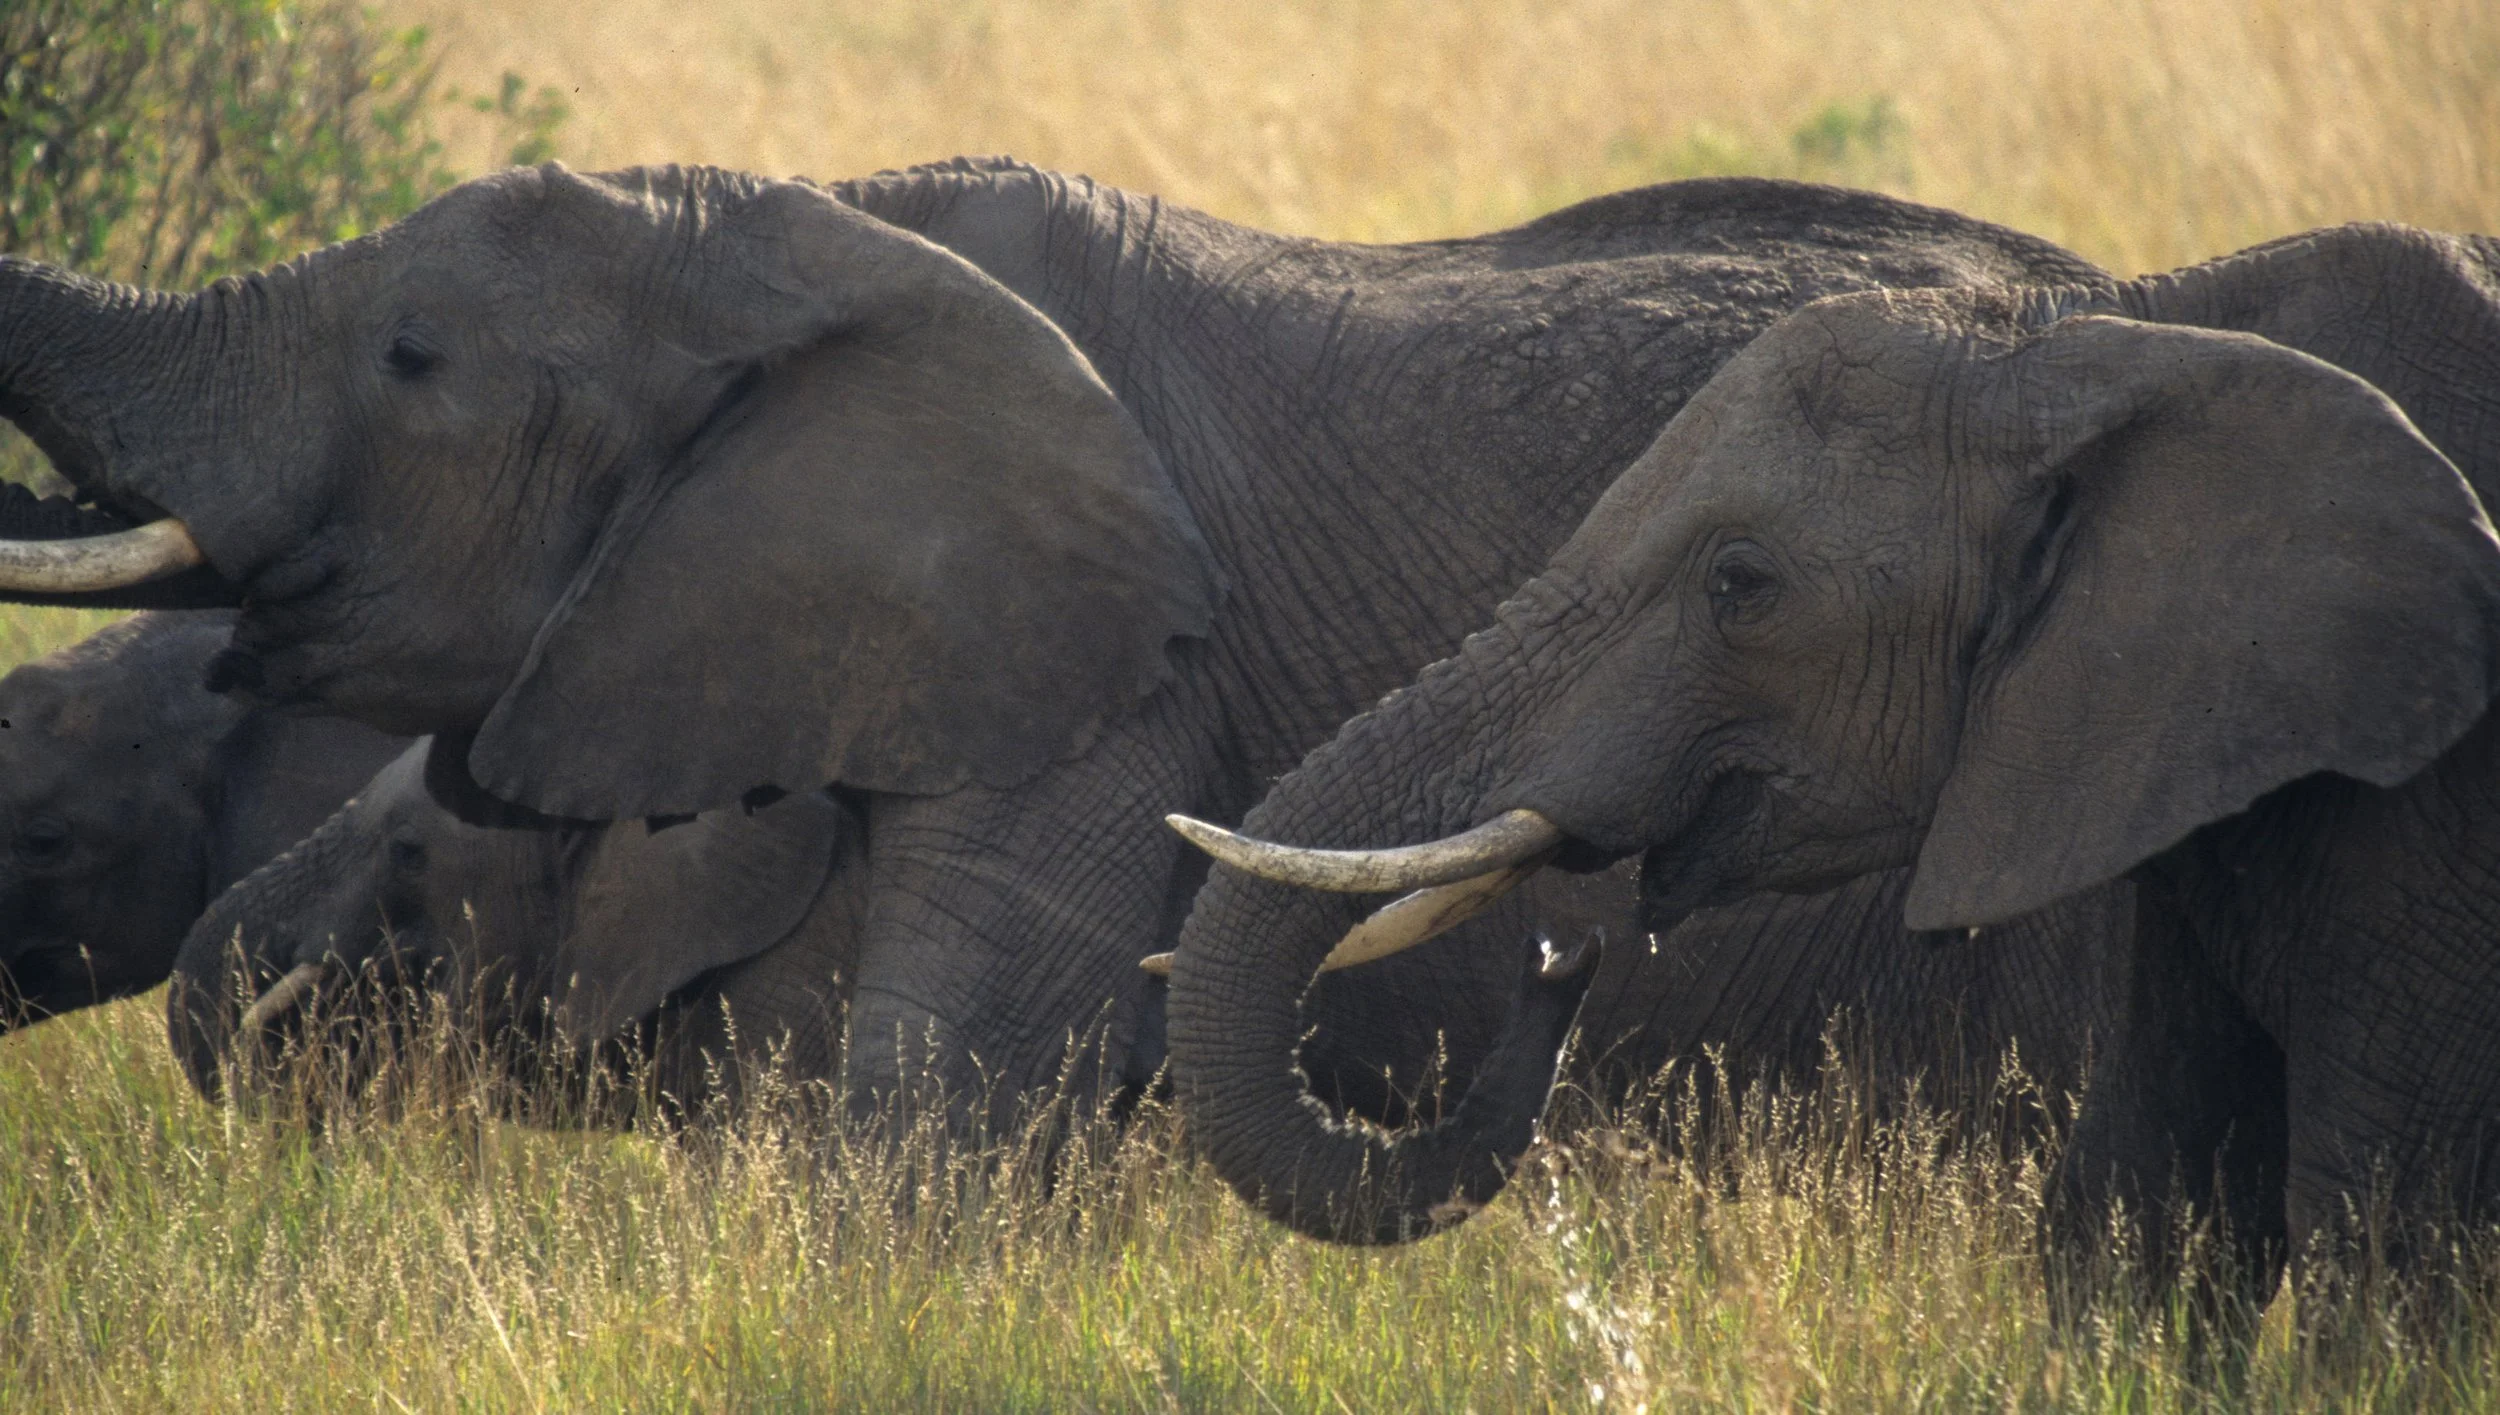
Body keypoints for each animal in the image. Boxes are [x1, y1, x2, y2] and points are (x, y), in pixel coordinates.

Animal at [1159, 220, 2500, 1292]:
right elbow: (2149, 1188)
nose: (1561, 955)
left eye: (1739, 585)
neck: (2115, 340)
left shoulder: (2430, 794)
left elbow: (2388, 1237)